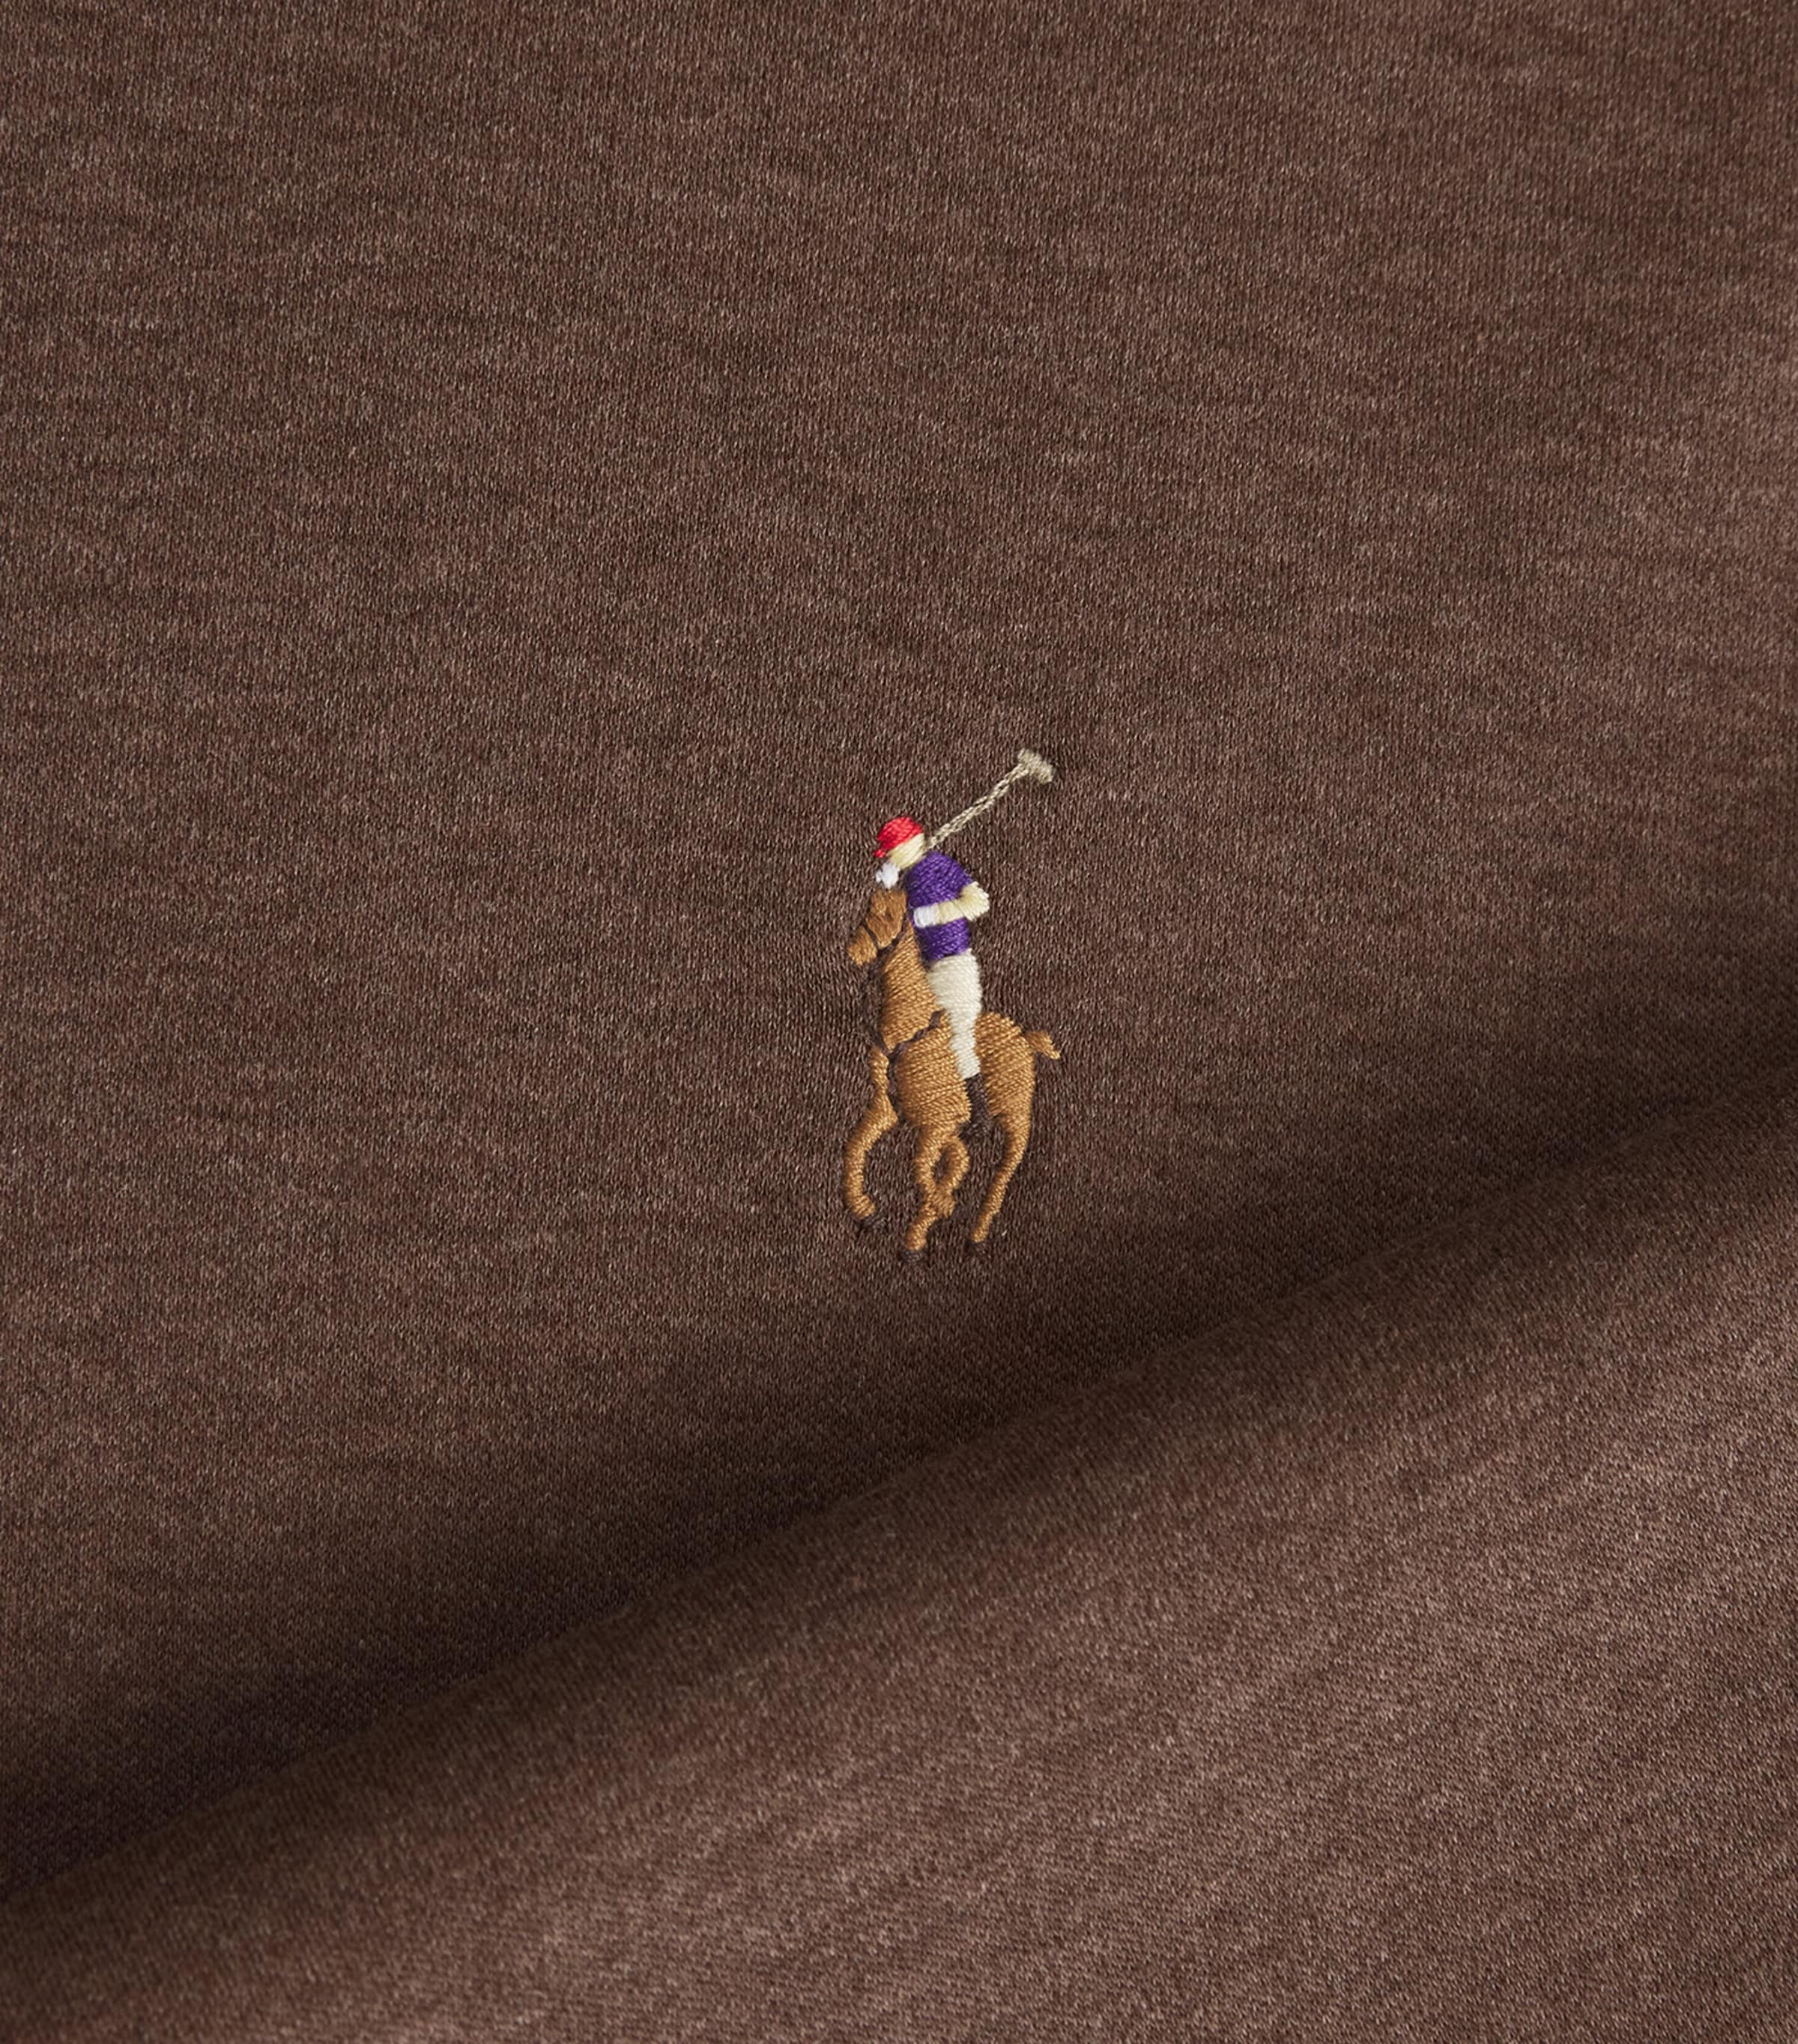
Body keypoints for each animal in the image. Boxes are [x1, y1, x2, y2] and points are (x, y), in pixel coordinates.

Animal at [843, 885, 1059, 1253]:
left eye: (887, 914)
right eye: (869, 908)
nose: (854, 951)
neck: (910, 1028)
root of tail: (1023, 1036)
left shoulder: (938, 1123)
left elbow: (921, 1170)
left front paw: (936, 1215)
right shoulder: (889, 1111)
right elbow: (858, 1147)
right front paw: (868, 1211)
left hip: (1015, 1116)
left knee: (1003, 1170)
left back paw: (977, 1234)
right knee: (963, 1160)